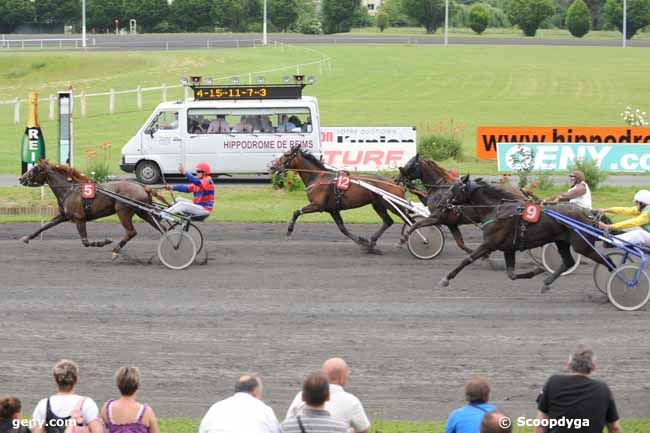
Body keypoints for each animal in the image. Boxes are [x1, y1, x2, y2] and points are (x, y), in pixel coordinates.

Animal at [19, 161, 163, 256]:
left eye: (34, 169)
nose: (21, 178)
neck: (69, 190)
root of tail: (143, 187)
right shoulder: (63, 216)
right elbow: (46, 225)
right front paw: (27, 238)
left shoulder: (79, 218)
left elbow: (85, 242)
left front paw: (104, 242)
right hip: (143, 212)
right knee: (162, 228)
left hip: (123, 211)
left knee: (131, 232)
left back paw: (116, 250)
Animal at [268, 145, 404, 253]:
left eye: (286, 155)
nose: (272, 167)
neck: (317, 177)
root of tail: (395, 182)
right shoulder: (333, 210)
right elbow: (342, 228)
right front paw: (363, 243)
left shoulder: (317, 205)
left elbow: (296, 212)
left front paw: (289, 230)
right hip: (378, 205)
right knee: (388, 221)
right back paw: (373, 241)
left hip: (392, 204)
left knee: (405, 218)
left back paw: (402, 241)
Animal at [394, 154, 528, 253]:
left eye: (410, 164)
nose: (396, 179)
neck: (441, 189)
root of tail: (519, 191)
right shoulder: (451, 222)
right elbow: (461, 243)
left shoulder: (437, 217)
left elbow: (416, 225)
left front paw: (402, 240)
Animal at [430, 174, 612, 292]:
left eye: (453, 189)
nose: (439, 204)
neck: (497, 210)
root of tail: (589, 214)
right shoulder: (508, 248)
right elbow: (511, 274)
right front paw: (536, 271)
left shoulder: (489, 243)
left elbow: (467, 259)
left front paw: (446, 279)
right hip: (562, 242)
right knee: (568, 262)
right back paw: (547, 282)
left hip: (582, 245)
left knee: (606, 260)